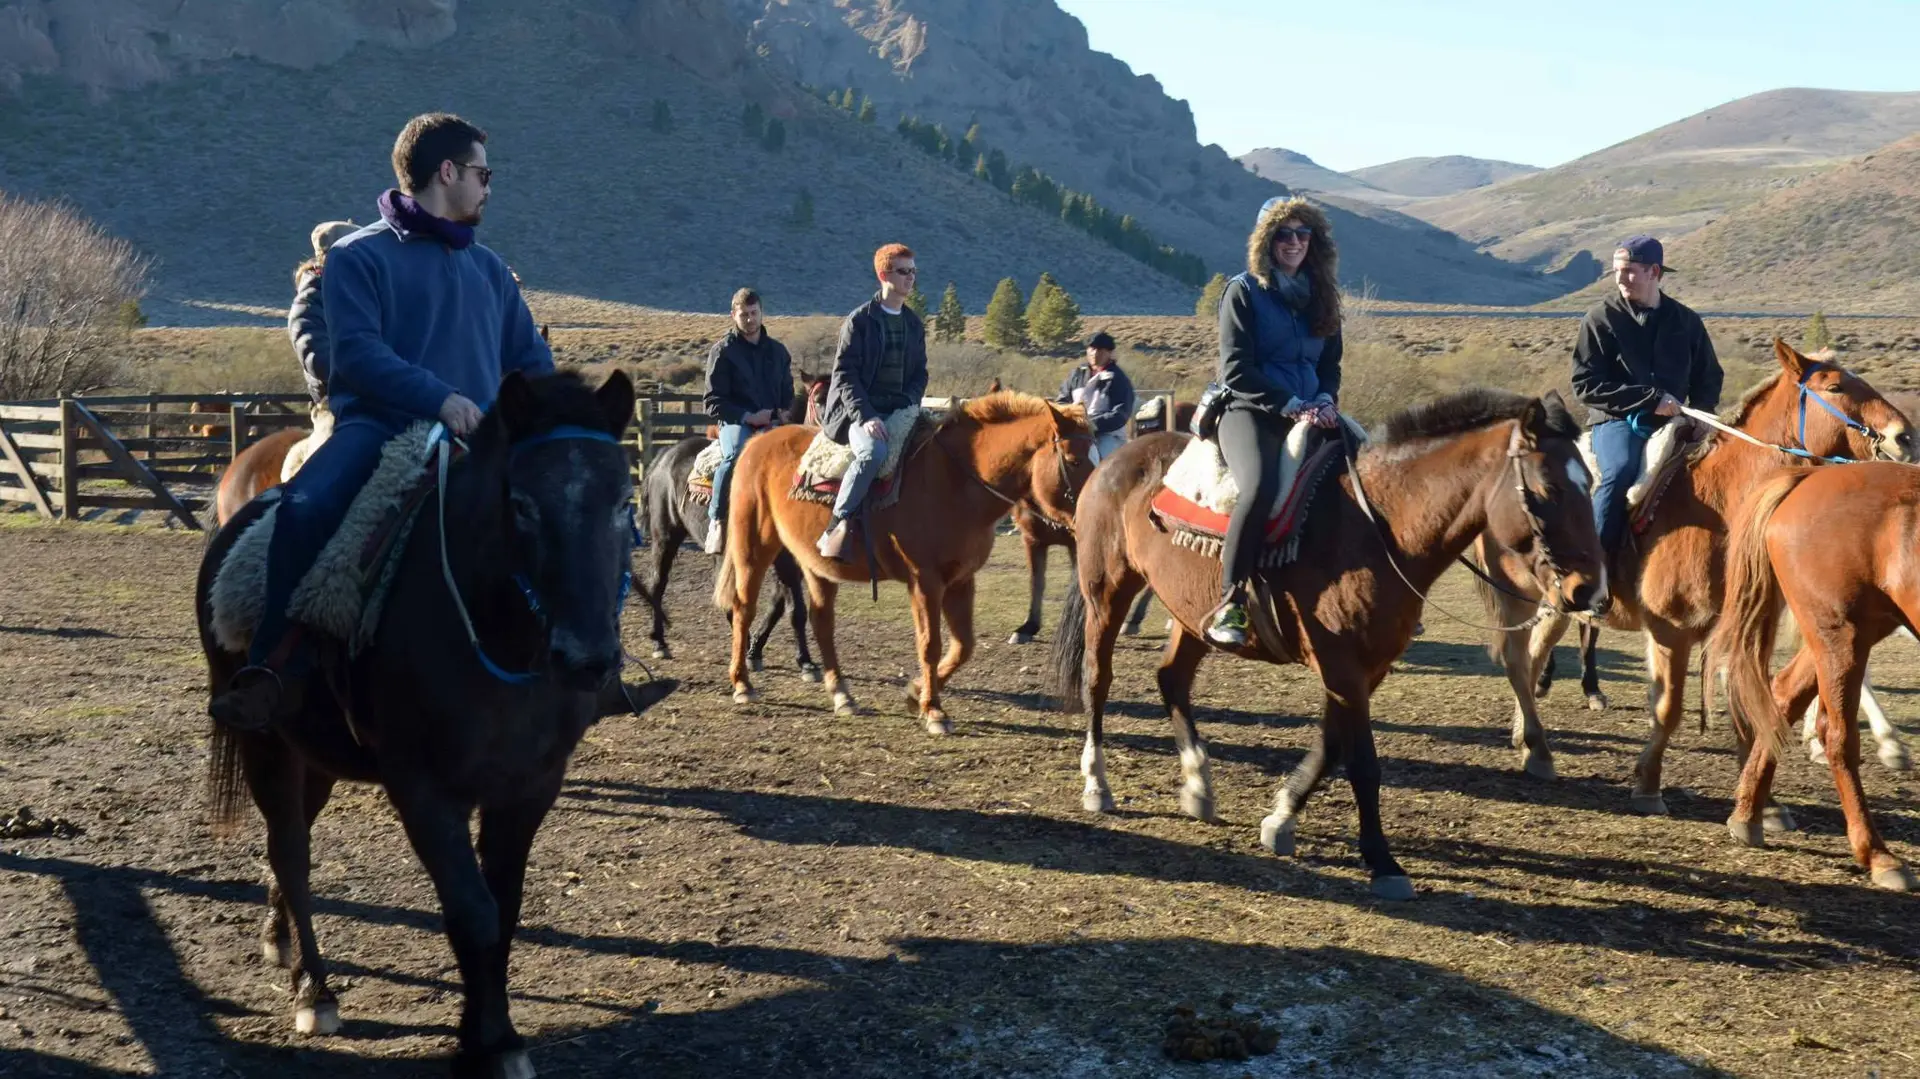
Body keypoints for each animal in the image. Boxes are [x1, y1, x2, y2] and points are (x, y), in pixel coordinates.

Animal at [199, 372, 679, 1075]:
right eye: (522, 504)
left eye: (624, 501)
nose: (588, 659)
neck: (496, 639)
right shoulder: (423, 791)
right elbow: (471, 912)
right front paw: (494, 1042)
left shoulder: (529, 788)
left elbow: (502, 908)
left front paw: (482, 1030)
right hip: (264, 744)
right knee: (290, 851)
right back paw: (315, 992)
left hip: (315, 756)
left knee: (289, 847)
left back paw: (278, 939)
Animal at [714, 389, 1098, 733]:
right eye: (1075, 461)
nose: (1092, 510)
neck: (955, 482)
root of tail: (758, 443)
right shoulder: (924, 581)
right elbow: (930, 644)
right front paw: (933, 711)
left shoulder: (961, 580)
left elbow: (963, 646)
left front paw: (916, 693)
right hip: (753, 547)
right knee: (744, 608)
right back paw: (742, 683)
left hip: (817, 565)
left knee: (821, 622)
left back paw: (841, 694)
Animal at [1052, 389, 1605, 894]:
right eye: (1547, 489)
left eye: (1590, 482)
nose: (1589, 591)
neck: (1378, 527)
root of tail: (1115, 459)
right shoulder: (1342, 666)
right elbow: (1362, 762)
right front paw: (1382, 860)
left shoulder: (1365, 669)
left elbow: (1331, 743)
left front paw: (1281, 819)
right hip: (1106, 593)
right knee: (1098, 679)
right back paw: (1097, 783)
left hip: (1190, 616)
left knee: (1172, 679)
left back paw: (1197, 784)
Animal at [1466, 339, 1904, 810]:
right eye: (1836, 386)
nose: (1903, 436)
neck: (1721, 506)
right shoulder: (1670, 630)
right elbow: (1668, 708)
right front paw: (1648, 785)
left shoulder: (1746, 628)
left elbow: (1752, 701)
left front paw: (1760, 801)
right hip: (1520, 595)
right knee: (1520, 660)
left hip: (1557, 606)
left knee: (1532, 657)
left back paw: (1525, 736)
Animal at [1712, 464, 1920, 890]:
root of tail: (1810, 476)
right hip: (1840, 633)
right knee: (1837, 735)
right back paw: (1877, 854)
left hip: (1850, 630)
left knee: (1783, 695)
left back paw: (1748, 814)